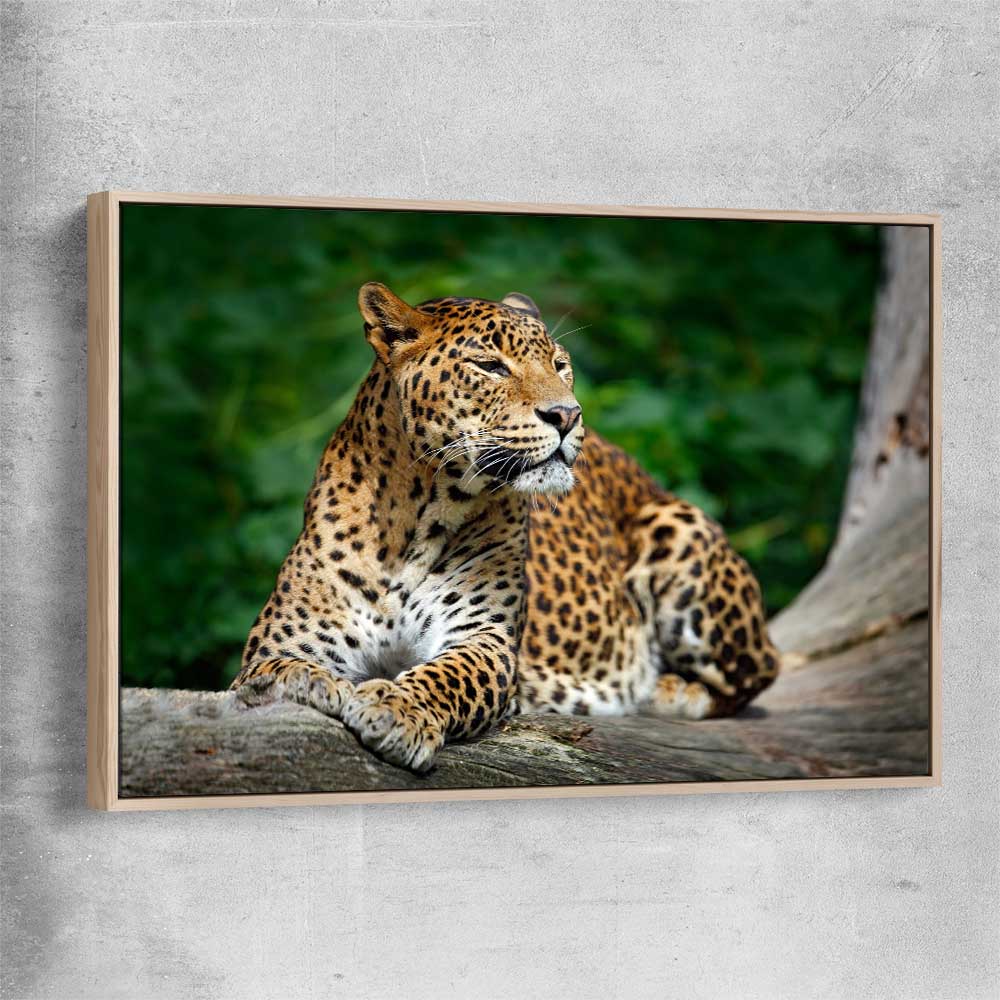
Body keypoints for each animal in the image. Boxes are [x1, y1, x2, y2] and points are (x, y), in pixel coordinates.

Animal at [231, 282, 779, 772]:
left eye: (560, 365)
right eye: (490, 366)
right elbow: (271, 669)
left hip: (679, 528)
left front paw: (397, 710)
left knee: (758, 672)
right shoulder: (284, 638)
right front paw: (308, 682)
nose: (567, 414)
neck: (415, 518)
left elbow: (447, 676)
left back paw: (669, 690)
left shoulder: (484, 638)